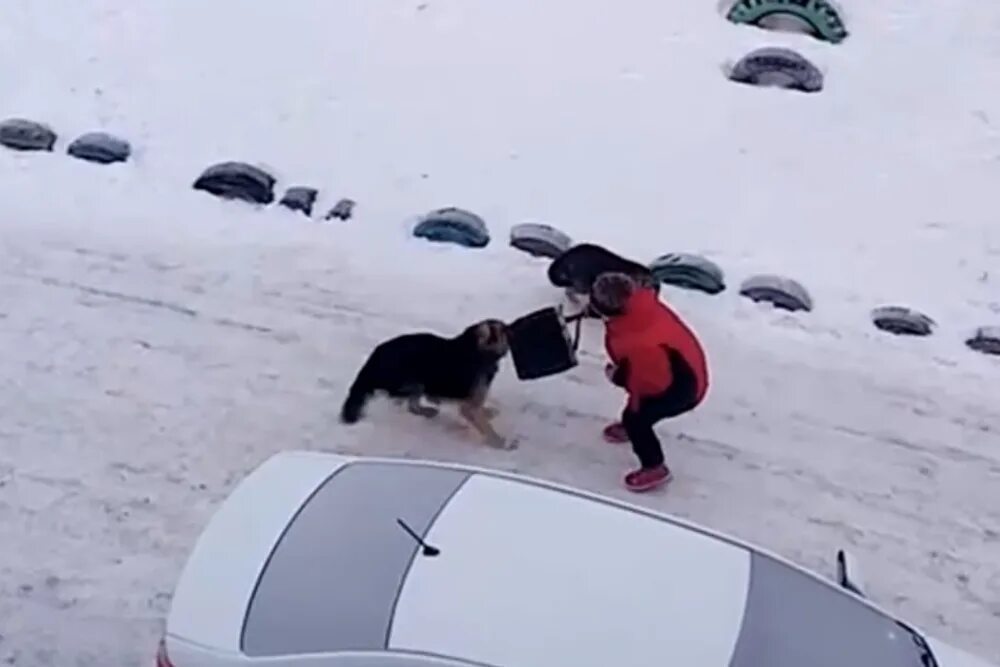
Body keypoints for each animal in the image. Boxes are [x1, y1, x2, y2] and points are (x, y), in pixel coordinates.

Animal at [340, 318, 512, 448]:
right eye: (502, 329)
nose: (510, 326)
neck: (474, 348)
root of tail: (374, 358)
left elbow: (481, 411)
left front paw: (488, 413)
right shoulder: (468, 405)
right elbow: (484, 424)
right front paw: (499, 442)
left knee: (412, 404)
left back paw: (428, 408)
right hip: (413, 380)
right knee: (405, 400)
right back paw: (428, 402)